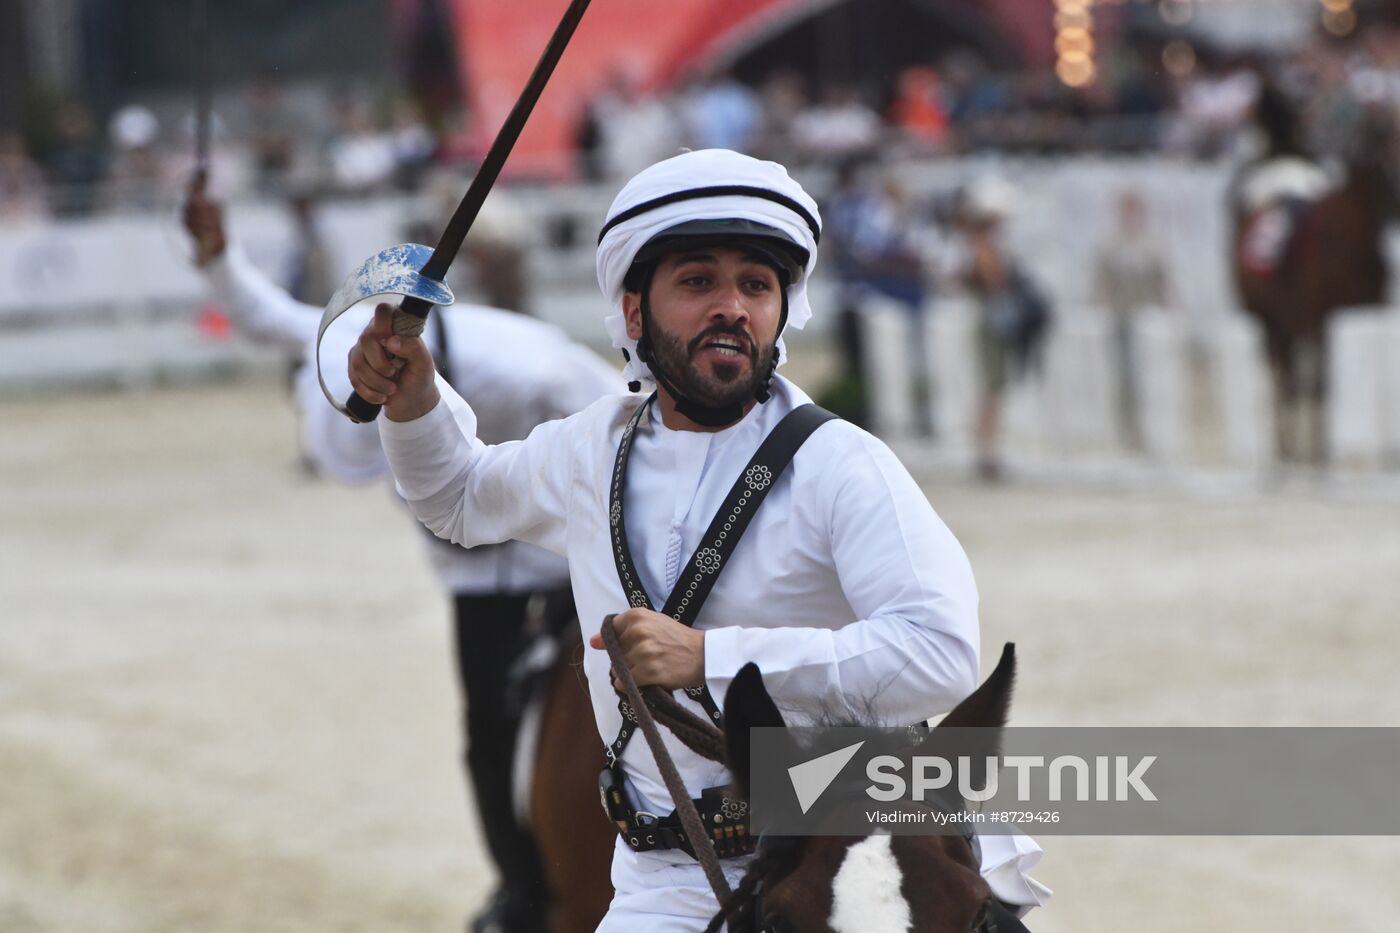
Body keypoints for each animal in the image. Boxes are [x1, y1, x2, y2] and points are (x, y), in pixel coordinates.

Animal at [1232, 79, 1394, 462]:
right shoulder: (1315, 317)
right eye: (1385, 143)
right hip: (1268, 320)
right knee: (1282, 377)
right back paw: (1286, 453)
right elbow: (1317, 383)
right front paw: (1317, 454)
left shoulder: (1372, 309)